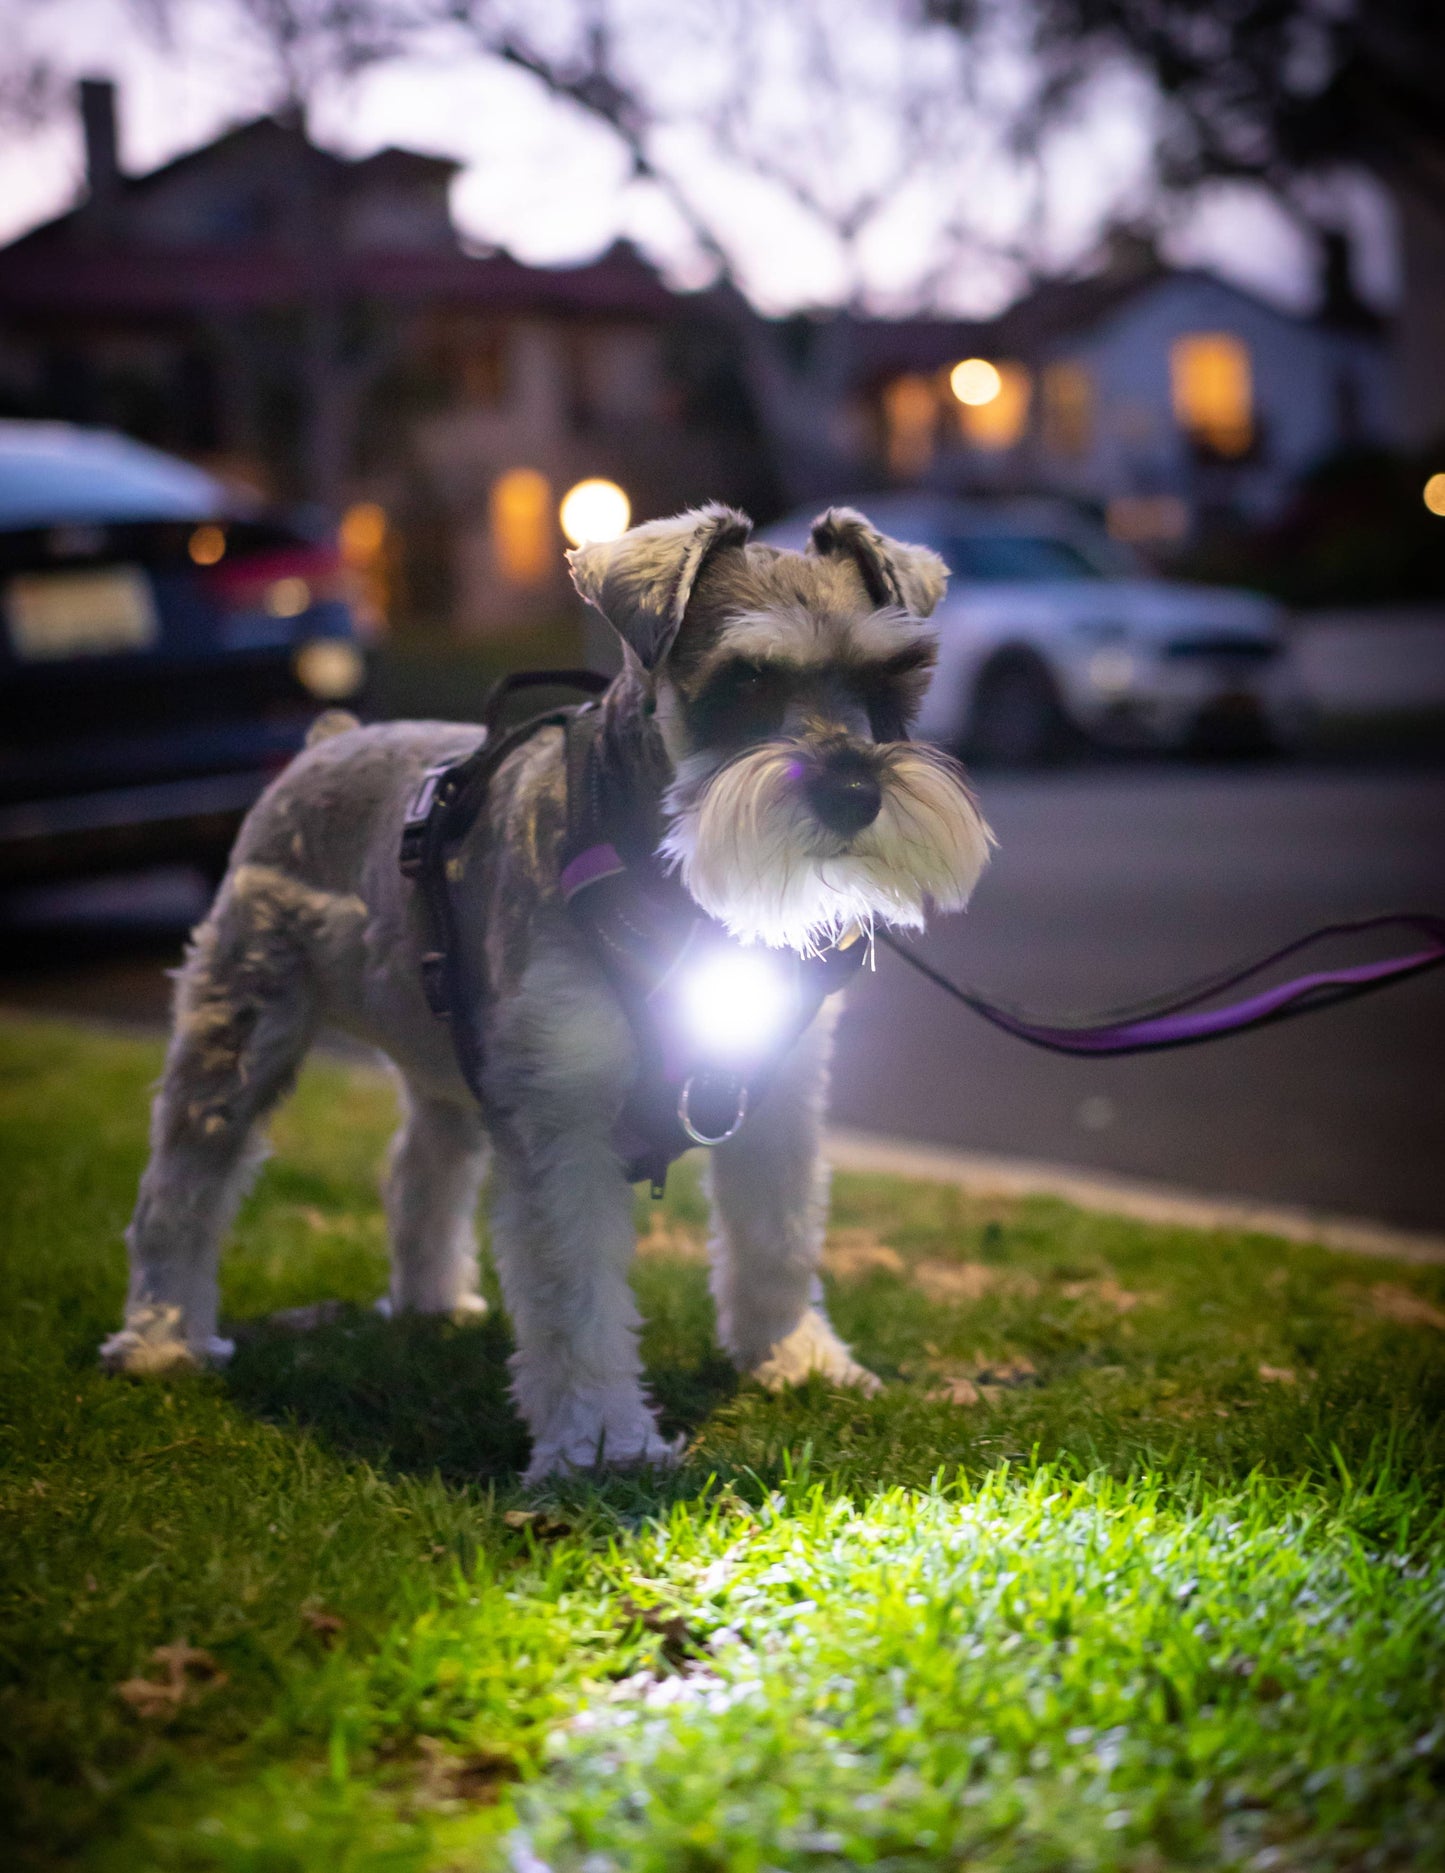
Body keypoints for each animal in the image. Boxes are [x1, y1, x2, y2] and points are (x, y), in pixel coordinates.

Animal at [104, 509, 997, 1475]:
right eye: (745, 680)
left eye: (891, 679)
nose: (853, 793)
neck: (668, 873)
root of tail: (329, 737)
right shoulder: (560, 1109)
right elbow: (575, 1287)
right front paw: (603, 1442)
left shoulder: (779, 1093)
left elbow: (778, 1233)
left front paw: (794, 1358)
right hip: (240, 1026)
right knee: (182, 1185)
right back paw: (160, 1340)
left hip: (450, 1052)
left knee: (419, 1168)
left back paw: (430, 1302)